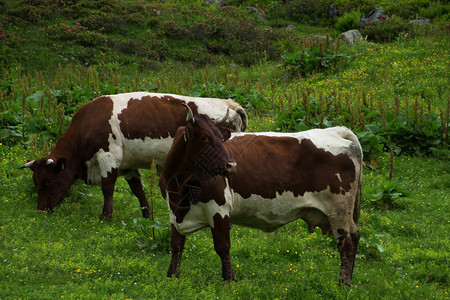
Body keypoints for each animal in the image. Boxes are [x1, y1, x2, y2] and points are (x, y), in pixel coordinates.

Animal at [19, 91, 248, 218]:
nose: (41, 210)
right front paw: (147, 215)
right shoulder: (128, 165)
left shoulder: (108, 156)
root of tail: (231, 104)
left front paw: (106, 216)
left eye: (48, 181)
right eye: (35, 182)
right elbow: (138, 190)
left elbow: (107, 188)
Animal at [158, 106, 362, 284]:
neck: (179, 187)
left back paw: (344, 283)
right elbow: (176, 246)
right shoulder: (173, 211)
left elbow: (222, 246)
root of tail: (336, 131)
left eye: (220, 138)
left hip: (339, 211)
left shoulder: (218, 208)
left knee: (347, 241)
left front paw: (229, 280)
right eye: (203, 137)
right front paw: (172, 277)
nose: (231, 165)